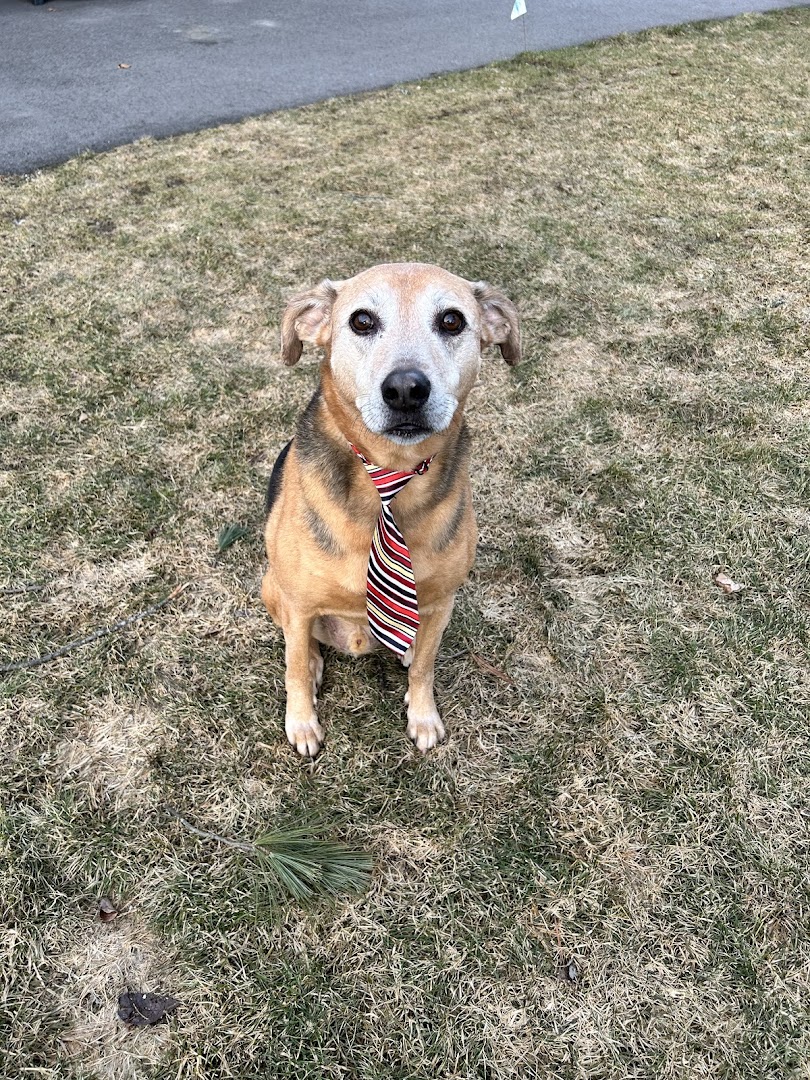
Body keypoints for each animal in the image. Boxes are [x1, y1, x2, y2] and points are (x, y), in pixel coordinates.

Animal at [263, 261, 522, 756]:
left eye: (452, 320)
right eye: (362, 321)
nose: (405, 389)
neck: (389, 475)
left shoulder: (441, 603)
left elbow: (426, 666)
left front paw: (423, 716)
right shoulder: (299, 603)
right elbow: (294, 667)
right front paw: (301, 723)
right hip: (272, 587)